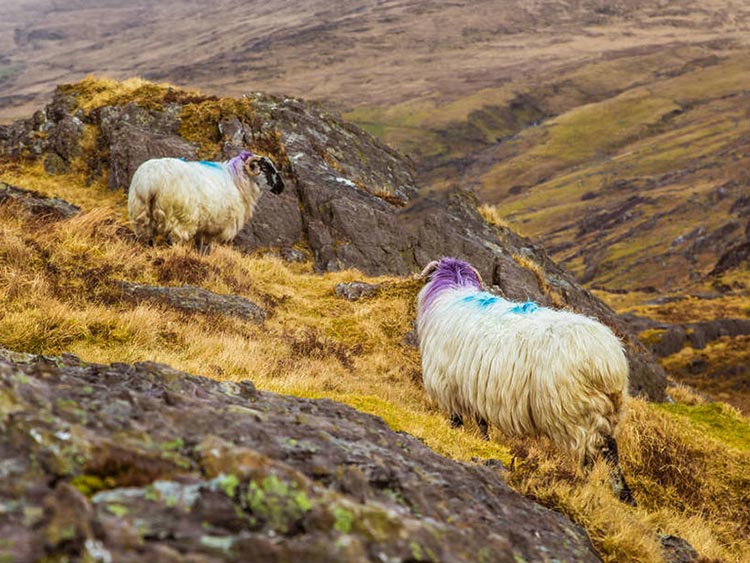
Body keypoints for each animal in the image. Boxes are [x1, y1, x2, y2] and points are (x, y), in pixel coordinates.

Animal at [128, 152, 284, 253]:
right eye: (265, 168)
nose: (281, 187)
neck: (237, 181)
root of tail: (152, 181)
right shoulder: (217, 226)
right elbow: (208, 246)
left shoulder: (205, 226)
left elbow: (199, 244)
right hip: (182, 217)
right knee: (173, 240)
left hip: (140, 212)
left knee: (147, 238)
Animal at [420, 258, 636, 504]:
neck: (452, 292)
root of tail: (607, 360)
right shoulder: (473, 389)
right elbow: (482, 423)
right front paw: (484, 442)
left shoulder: (448, 384)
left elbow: (456, 419)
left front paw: (456, 433)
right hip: (608, 409)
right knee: (611, 451)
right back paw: (624, 495)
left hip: (576, 411)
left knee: (593, 452)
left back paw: (582, 483)